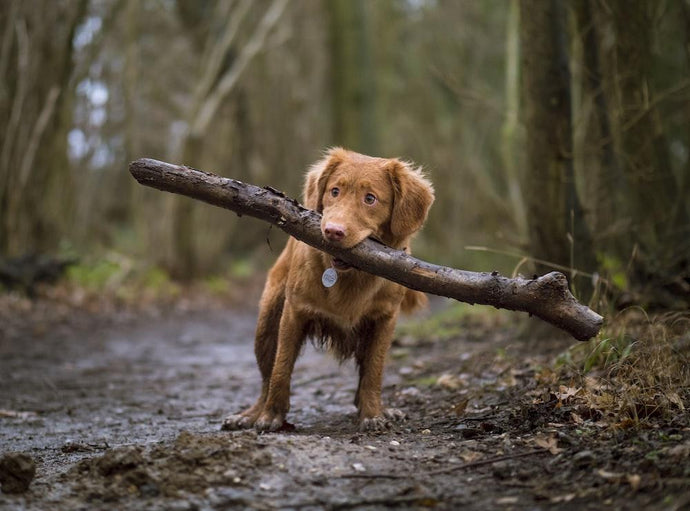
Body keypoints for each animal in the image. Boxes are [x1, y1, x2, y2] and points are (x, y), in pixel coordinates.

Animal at [223, 148, 432, 432]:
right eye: (335, 191)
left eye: (370, 199)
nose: (333, 231)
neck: (350, 276)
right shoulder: (294, 312)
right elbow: (281, 368)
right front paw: (271, 416)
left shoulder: (385, 319)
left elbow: (373, 371)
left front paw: (372, 414)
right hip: (267, 323)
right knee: (266, 376)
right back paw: (251, 414)